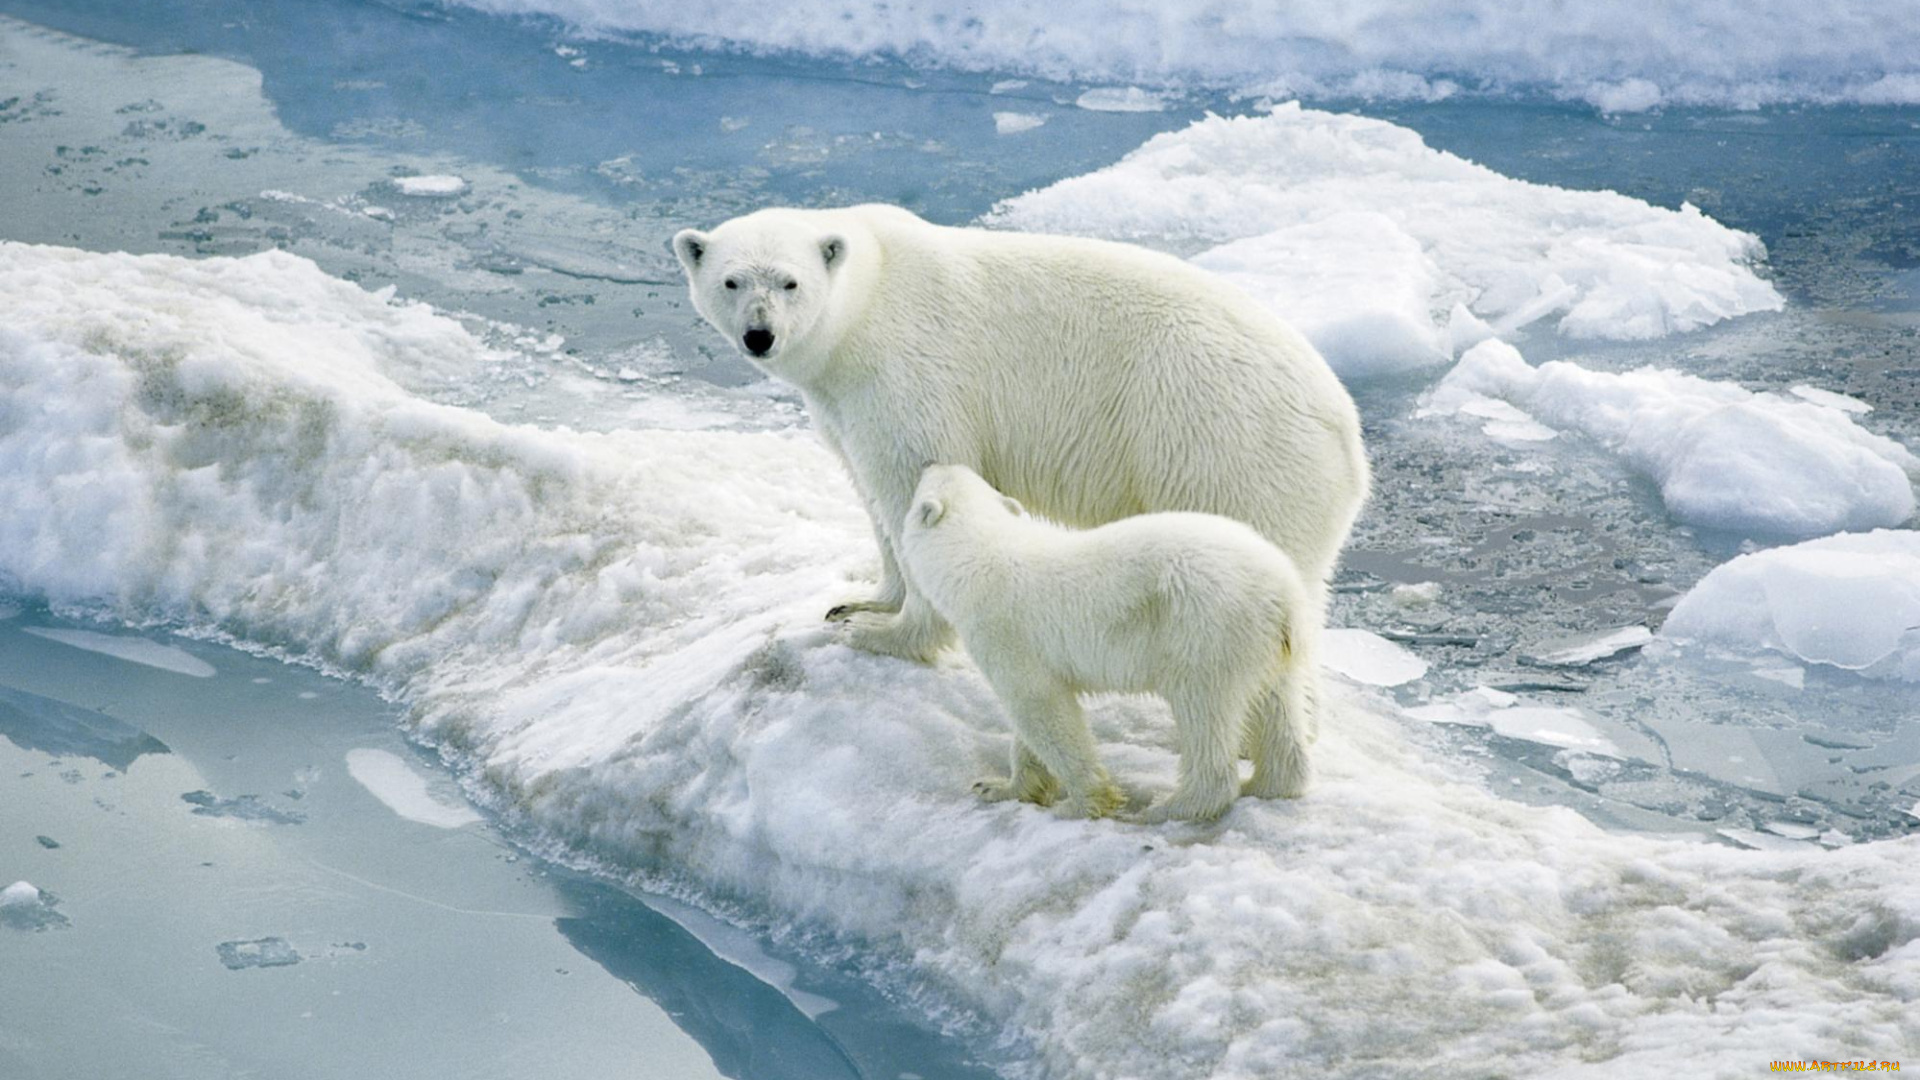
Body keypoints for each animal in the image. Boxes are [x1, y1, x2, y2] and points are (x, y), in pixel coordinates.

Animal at [672, 204, 1369, 768]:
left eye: (790, 282)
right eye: (732, 281)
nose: (759, 335)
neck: (867, 299)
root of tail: (1348, 437)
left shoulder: (907, 372)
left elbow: (911, 480)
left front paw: (886, 636)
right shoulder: (841, 401)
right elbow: (869, 491)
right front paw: (861, 602)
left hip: (1223, 451)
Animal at [901, 464, 1312, 822]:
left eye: (926, 481)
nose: (929, 461)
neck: (980, 557)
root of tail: (1283, 591)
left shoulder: (1005, 631)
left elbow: (1041, 709)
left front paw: (1083, 803)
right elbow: (1032, 722)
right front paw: (998, 787)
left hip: (1205, 628)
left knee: (1203, 708)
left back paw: (1171, 806)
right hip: (1267, 645)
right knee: (1276, 705)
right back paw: (1267, 783)